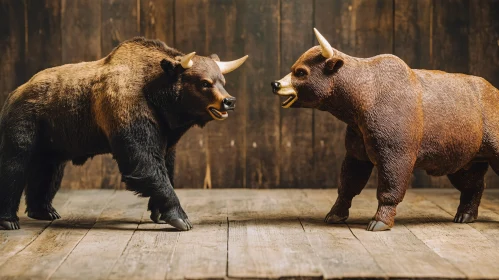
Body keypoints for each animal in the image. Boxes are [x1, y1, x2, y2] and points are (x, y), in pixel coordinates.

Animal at [0, 36, 249, 230]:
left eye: (222, 80)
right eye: (204, 83)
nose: (229, 101)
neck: (159, 100)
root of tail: (13, 93)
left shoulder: (166, 136)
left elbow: (166, 168)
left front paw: (158, 212)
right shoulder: (128, 118)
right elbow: (145, 163)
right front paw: (179, 216)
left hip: (53, 140)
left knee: (48, 170)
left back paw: (44, 211)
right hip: (24, 124)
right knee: (15, 164)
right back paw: (9, 219)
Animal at [272, 29, 499, 232]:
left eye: (301, 72)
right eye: (294, 68)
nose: (276, 84)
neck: (366, 95)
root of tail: (493, 91)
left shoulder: (396, 154)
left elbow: (390, 188)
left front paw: (380, 221)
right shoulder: (357, 151)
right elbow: (348, 184)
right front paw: (335, 214)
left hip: (490, 151)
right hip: (465, 159)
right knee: (474, 185)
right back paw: (465, 215)